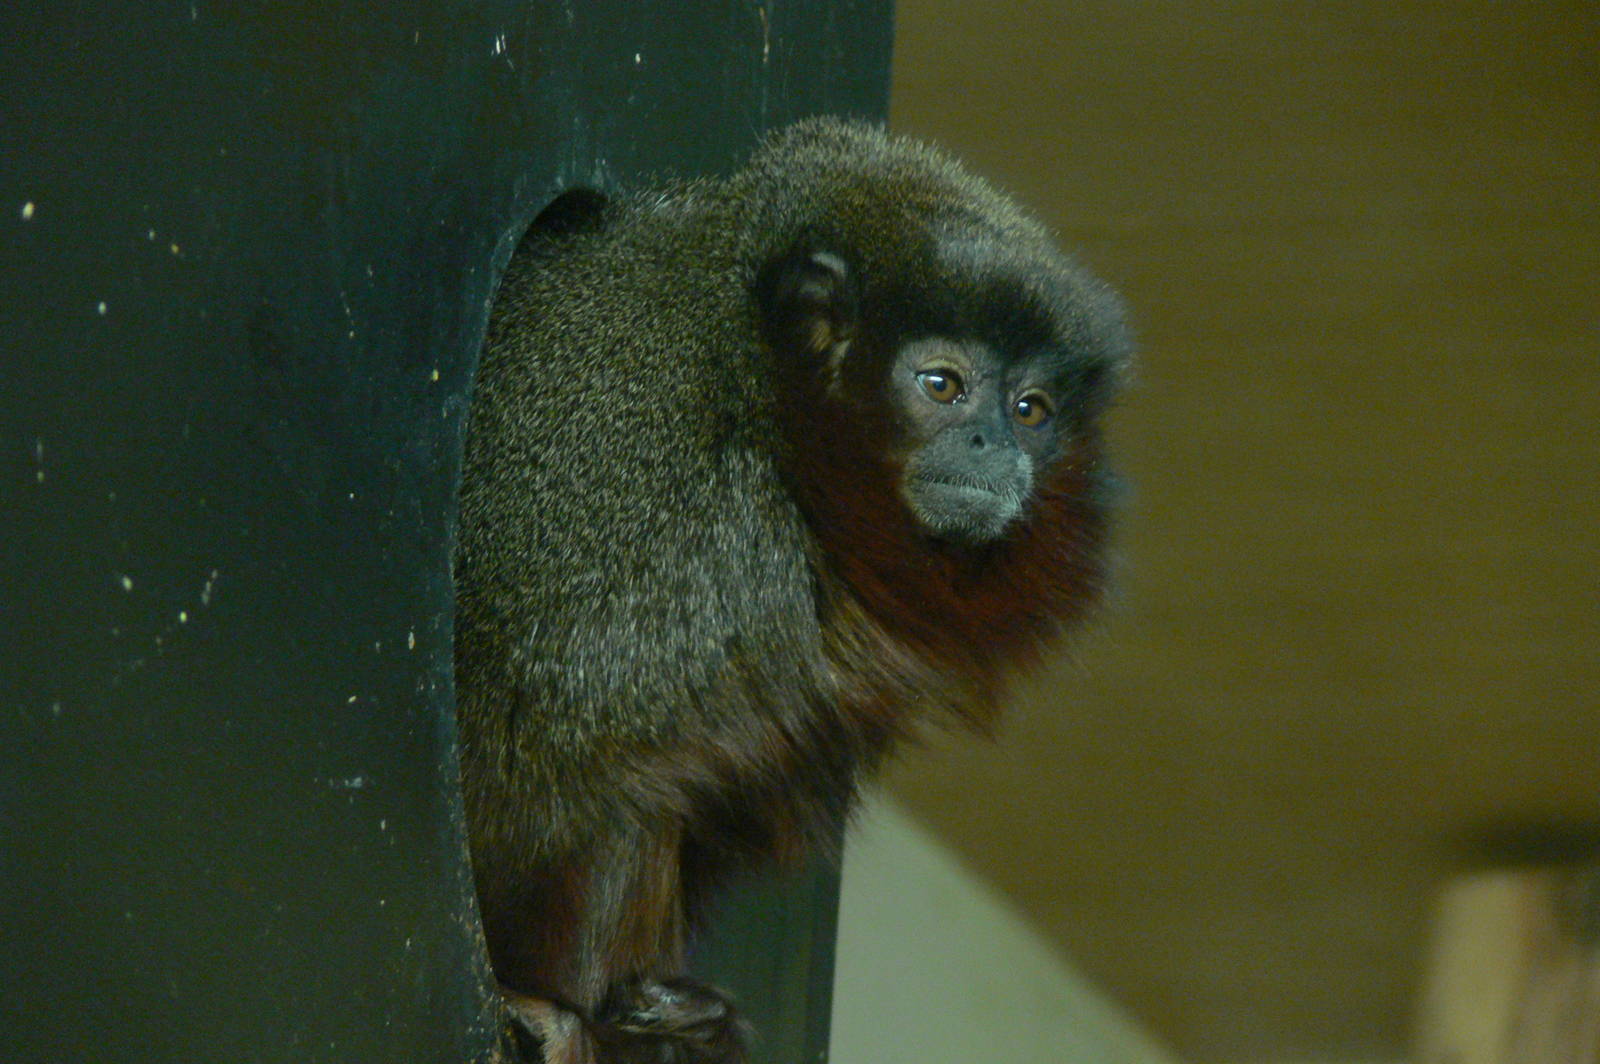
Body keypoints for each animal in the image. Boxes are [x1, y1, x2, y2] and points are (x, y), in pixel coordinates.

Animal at [453, 117, 1129, 1063]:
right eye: (943, 385)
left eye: (1032, 408)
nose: (995, 445)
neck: (768, 413)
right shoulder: (674, 543)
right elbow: (558, 756)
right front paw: (561, 1000)